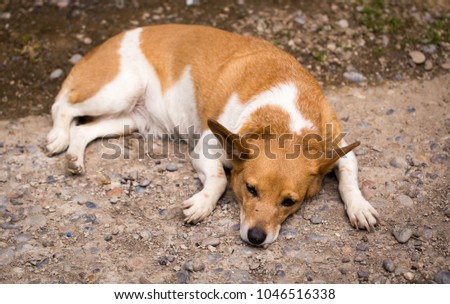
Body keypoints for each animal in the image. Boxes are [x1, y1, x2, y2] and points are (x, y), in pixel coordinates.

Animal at [47, 24, 378, 247]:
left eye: (289, 202)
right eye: (250, 189)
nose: (256, 238)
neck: (284, 122)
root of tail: (109, 42)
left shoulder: (342, 150)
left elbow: (349, 177)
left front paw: (359, 207)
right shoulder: (205, 149)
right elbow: (219, 179)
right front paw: (203, 204)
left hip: (128, 118)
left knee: (83, 129)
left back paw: (74, 157)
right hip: (116, 92)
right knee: (63, 107)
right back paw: (58, 138)